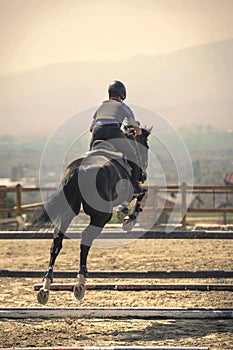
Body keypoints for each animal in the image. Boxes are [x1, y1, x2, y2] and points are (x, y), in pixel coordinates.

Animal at [32, 125, 152, 304]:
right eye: (146, 145)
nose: (143, 174)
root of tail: (77, 170)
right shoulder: (133, 188)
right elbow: (142, 193)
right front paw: (129, 218)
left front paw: (124, 214)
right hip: (101, 216)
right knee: (86, 238)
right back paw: (80, 283)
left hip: (68, 212)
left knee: (56, 241)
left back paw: (46, 287)